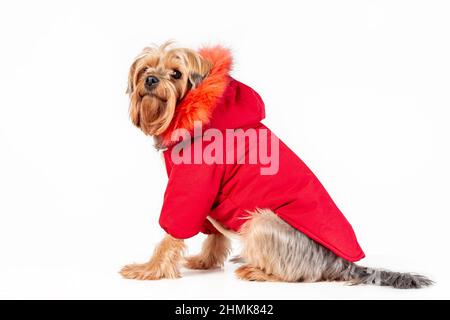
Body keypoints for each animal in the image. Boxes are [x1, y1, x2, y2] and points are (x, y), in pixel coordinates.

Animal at [120, 41, 432, 288]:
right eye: (145, 69)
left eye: (176, 73)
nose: (150, 80)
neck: (196, 112)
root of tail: (342, 264)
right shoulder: (210, 200)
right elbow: (215, 236)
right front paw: (205, 261)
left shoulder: (194, 184)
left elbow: (172, 231)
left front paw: (149, 269)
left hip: (262, 221)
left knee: (299, 276)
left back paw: (258, 272)